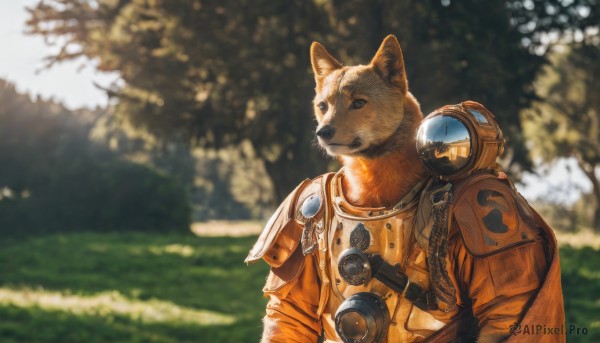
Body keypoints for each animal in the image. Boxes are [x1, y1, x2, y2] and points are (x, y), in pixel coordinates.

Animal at [246, 35, 564, 343]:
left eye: (359, 103)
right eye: (323, 106)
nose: (322, 131)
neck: (372, 185)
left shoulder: (480, 200)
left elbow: (504, 307)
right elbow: (289, 308)